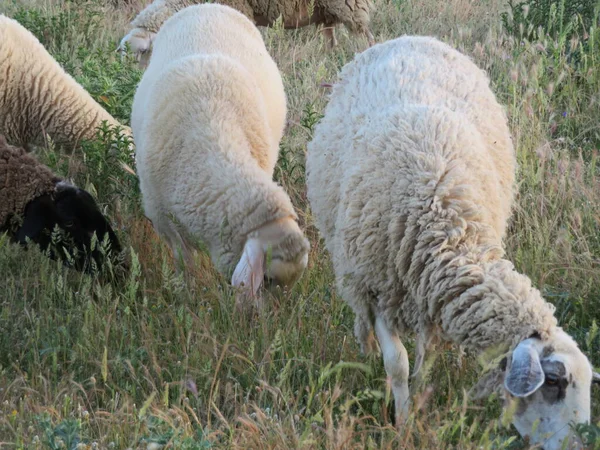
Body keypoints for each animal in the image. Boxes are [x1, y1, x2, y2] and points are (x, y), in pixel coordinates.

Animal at [308, 36, 596, 450]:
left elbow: (425, 358)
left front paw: (420, 395)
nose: (580, 445)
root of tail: (409, 36)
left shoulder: (430, 297)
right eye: (555, 381)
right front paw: (403, 422)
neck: (443, 223)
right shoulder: (377, 288)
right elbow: (397, 364)